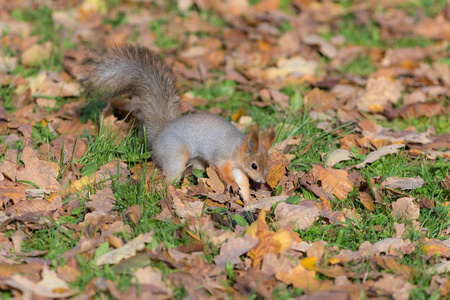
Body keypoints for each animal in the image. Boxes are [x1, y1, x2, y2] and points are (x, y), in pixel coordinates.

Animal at [78, 45, 274, 204]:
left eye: (269, 162)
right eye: (254, 165)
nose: (263, 181)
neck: (236, 148)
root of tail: (159, 134)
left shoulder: (239, 168)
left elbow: (243, 181)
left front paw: (247, 199)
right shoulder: (221, 156)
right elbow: (224, 172)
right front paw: (232, 184)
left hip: (195, 160)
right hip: (175, 156)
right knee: (168, 178)